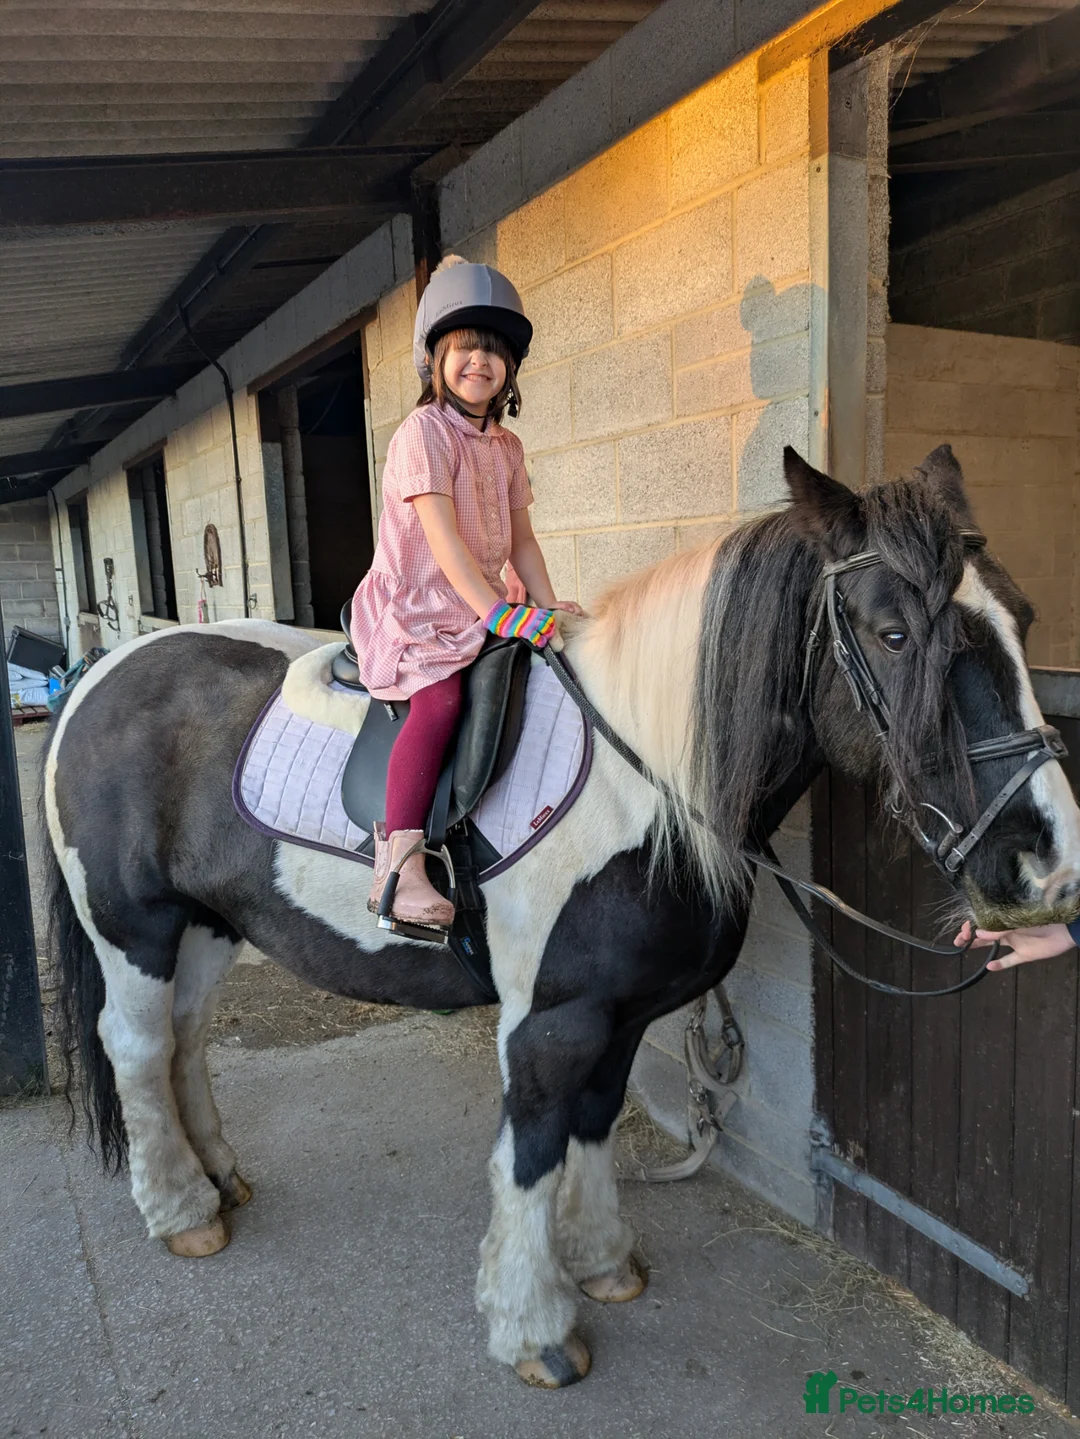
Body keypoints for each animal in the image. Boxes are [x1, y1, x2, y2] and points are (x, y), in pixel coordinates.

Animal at [44, 444, 1080, 1389]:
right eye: (896, 634)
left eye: (1023, 617)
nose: (1044, 863)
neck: (643, 782)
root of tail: (106, 668)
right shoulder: (550, 1021)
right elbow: (533, 1152)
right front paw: (533, 1325)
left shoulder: (621, 1014)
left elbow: (595, 1121)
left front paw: (601, 1261)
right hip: (135, 929)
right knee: (137, 1047)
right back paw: (181, 1211)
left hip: (207, 925)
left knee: (185, 1038)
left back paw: (218, 1177)